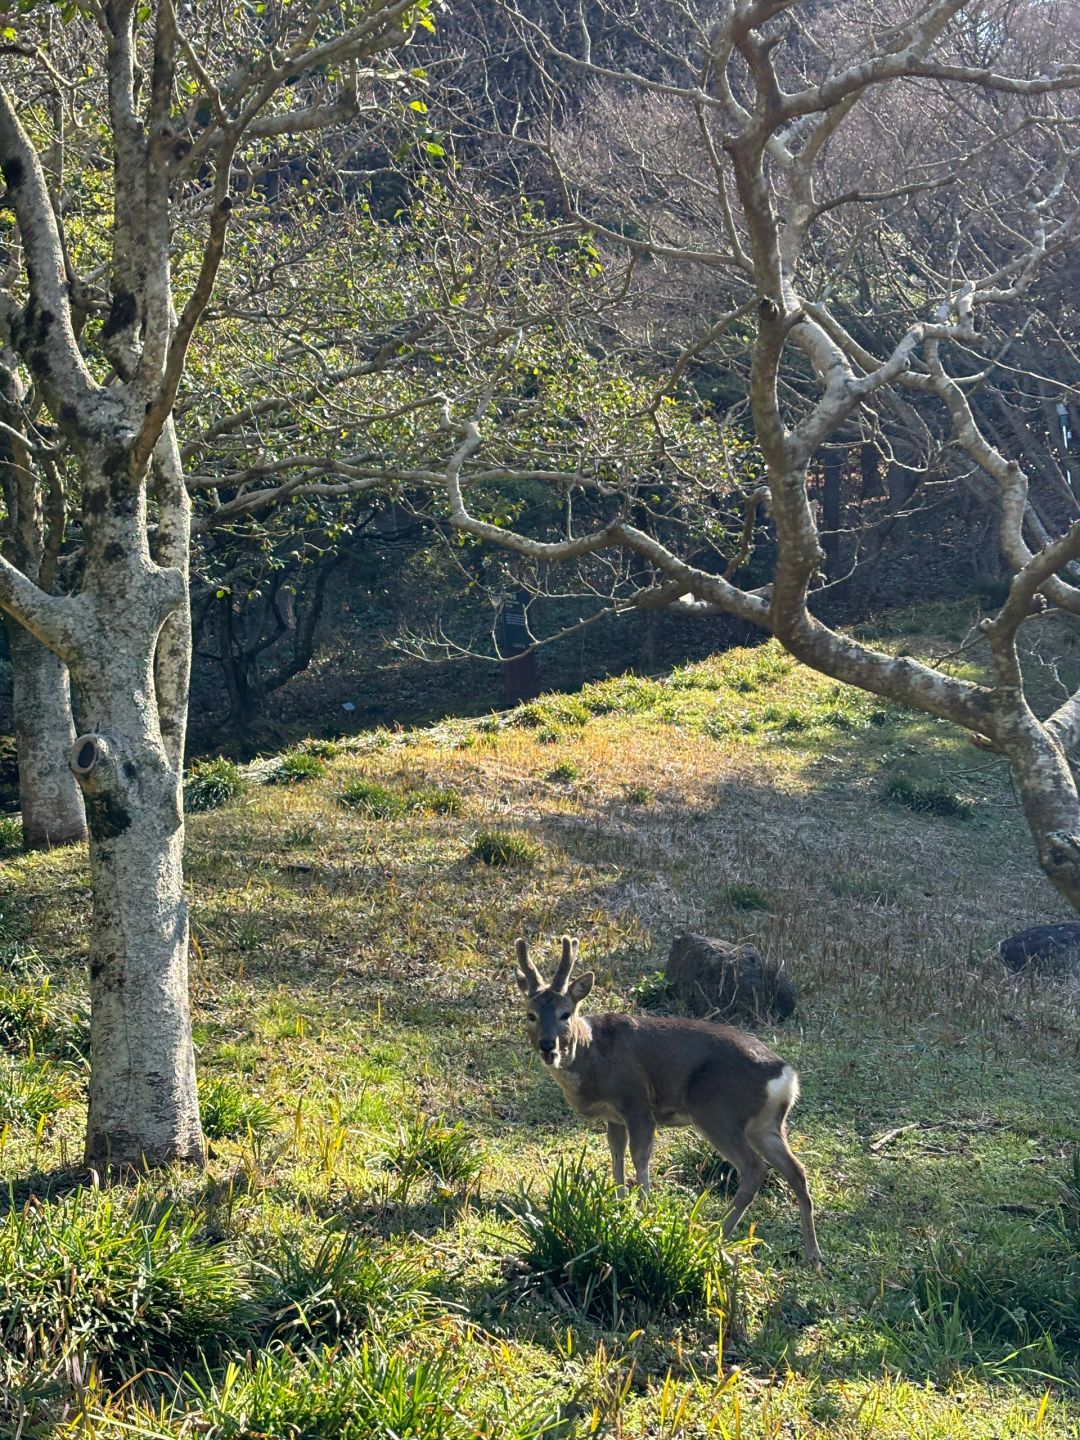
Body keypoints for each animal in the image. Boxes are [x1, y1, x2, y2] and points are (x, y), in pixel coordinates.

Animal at [512, 938, 817, 1267]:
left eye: (565, 1014)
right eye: (530, 1014)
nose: (548, 1046)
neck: (592, 1055)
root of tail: (786, 1077)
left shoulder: (637, 1102)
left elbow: (640, 1158)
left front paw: (645, 1214)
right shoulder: (614, 1117)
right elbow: (616, 1156)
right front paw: (617, 1206)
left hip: (717, 1111)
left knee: (754, 1169)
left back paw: (713, 1237)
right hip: (765, 1125)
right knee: (797, 1170)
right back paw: (812, 1255)